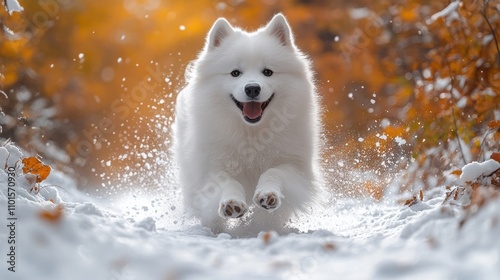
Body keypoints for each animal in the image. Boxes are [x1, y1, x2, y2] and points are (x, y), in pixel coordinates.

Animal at [173, 13, 320, 236]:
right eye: (235, 73)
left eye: (267, 72)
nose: (252, 88)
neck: (251, 132)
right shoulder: (212, 167)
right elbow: (228, 182)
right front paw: (231, 203)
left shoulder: (295, 166)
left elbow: (274, 172)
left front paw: (268, 195)